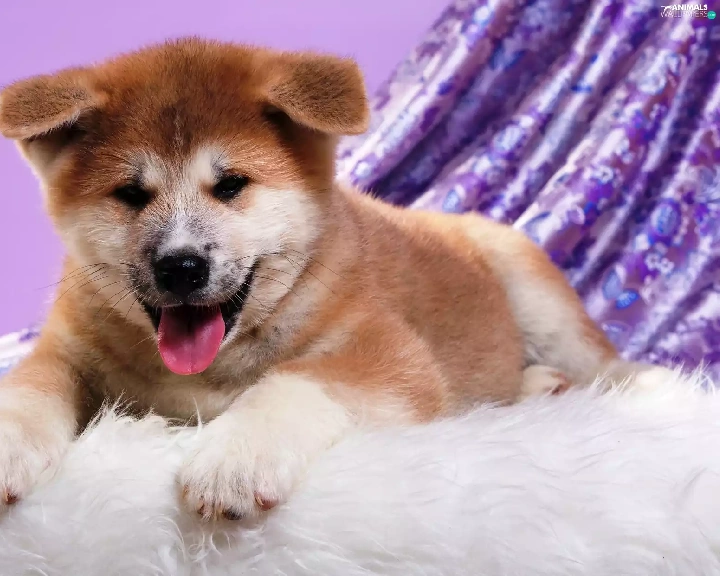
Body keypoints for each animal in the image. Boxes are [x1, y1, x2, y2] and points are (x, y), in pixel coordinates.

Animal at [0, 38, 658, 521]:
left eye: (231, 185)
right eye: (132, 195)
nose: (180, 266)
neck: (205, 372)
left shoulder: (389, 353)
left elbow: (294, 381)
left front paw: (235, 456)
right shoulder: (67, 351)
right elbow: (27, 388)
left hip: (537, 297)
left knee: (605, 365)